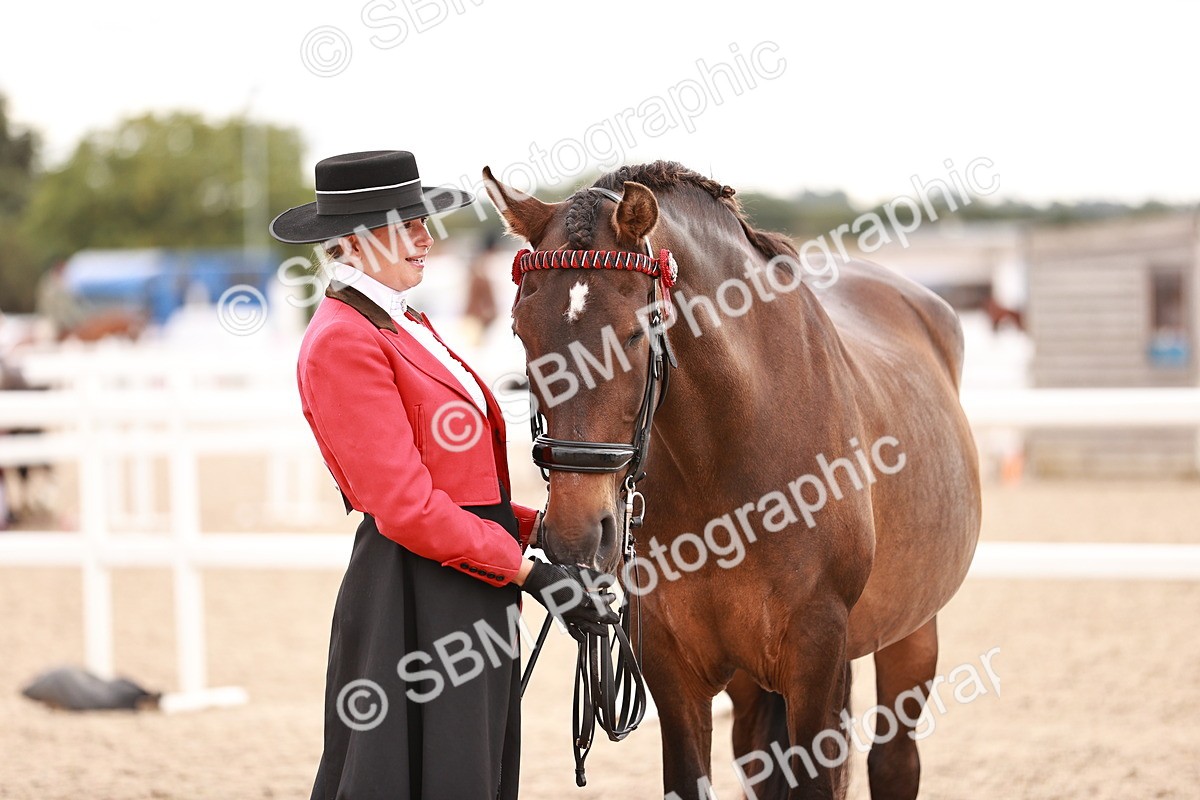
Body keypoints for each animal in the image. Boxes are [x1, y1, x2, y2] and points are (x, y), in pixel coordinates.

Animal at [483, 161, 981, 800]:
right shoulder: (670, 667)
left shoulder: (818, 655)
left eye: (636, 333)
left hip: (913, 631)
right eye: (522, 333)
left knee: (895, 762)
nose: (575, 534)